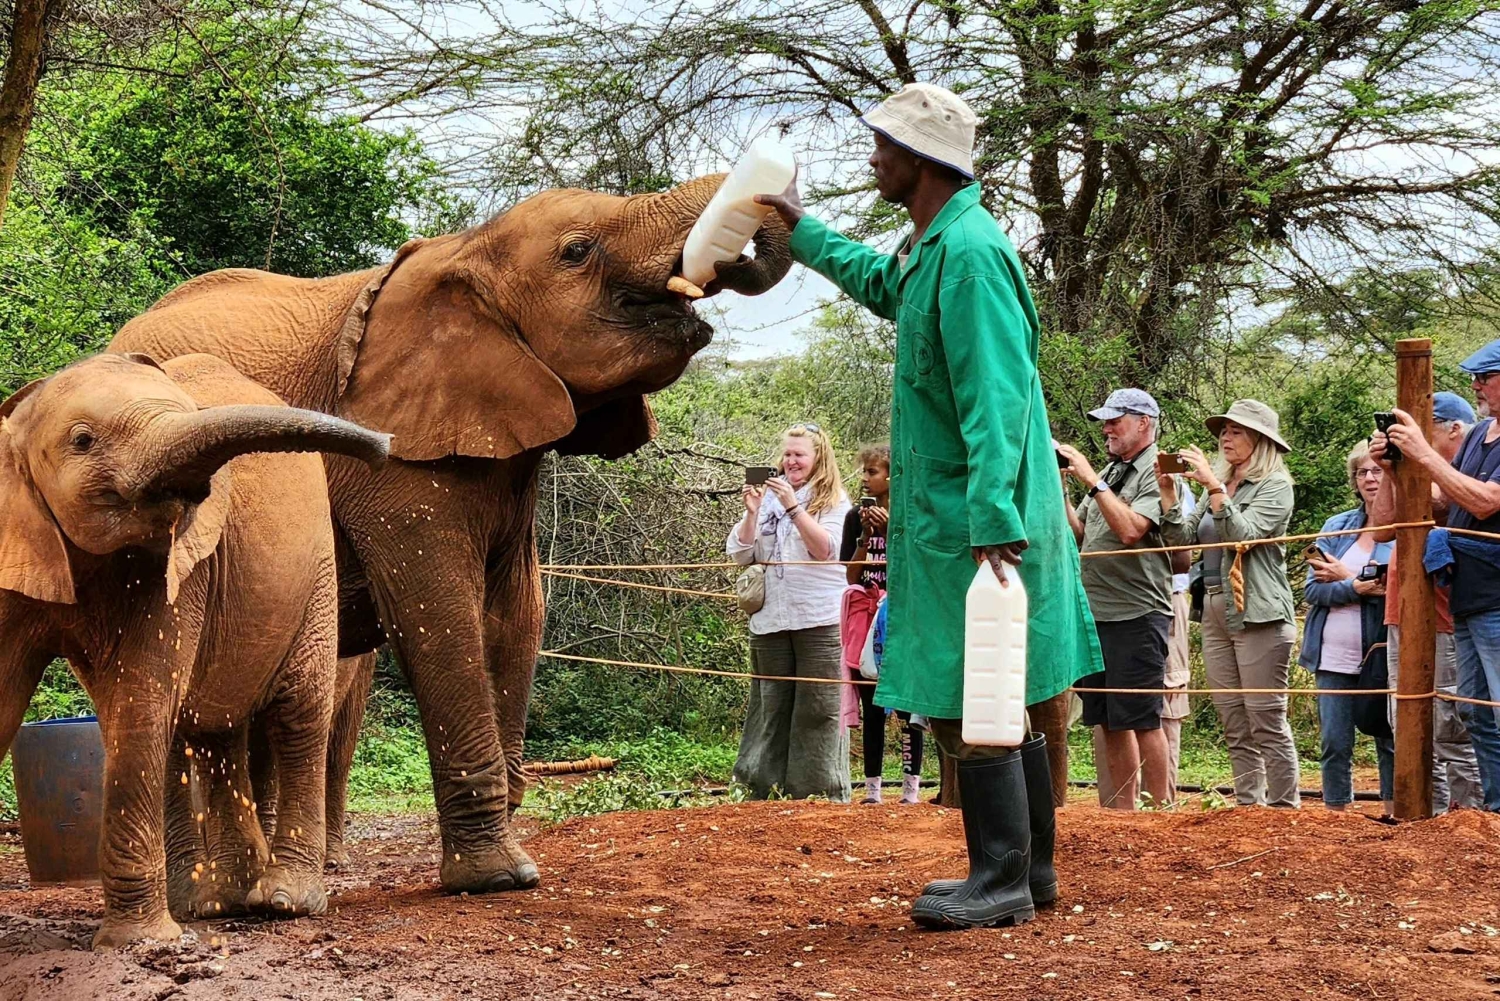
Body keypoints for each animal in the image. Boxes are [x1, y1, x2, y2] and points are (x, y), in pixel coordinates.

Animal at [0, 352, 391, 948]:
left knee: (295, 714)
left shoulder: (178, 568)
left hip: (317, 575)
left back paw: (281, 902)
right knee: (208, 728)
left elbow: (139, 701)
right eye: (83, 441)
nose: (387, 445)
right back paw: (211, 902)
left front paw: (135, 943)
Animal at [109, 174, 793, 894]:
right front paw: (500, 877)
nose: (736, 244)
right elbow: (440, 614)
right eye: (577, 251)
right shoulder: (392, 459)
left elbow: (517, 615)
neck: (468, 250)